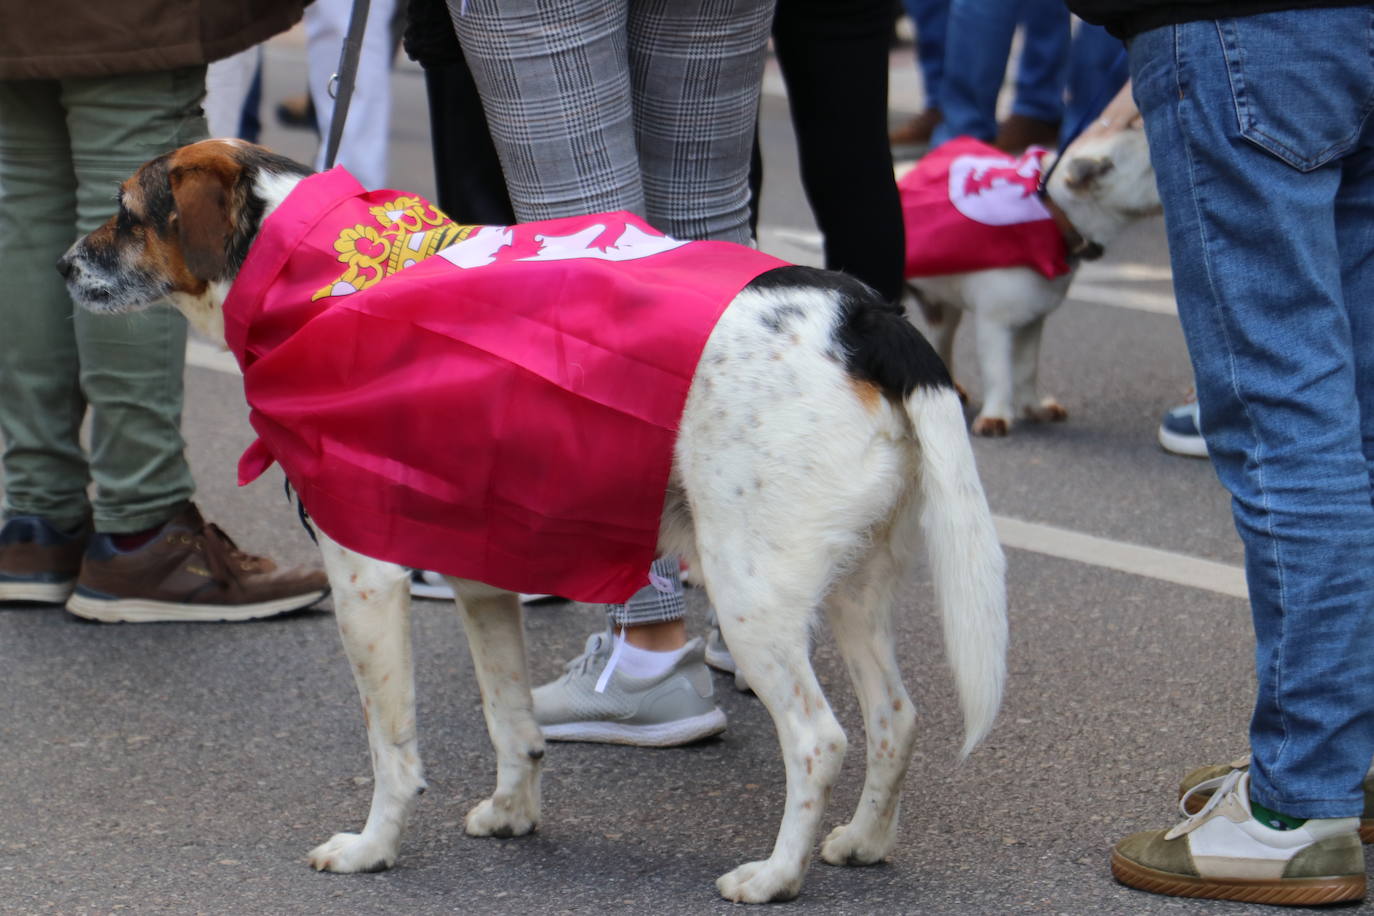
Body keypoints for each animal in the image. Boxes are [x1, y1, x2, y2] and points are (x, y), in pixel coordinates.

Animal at [59, 140, 1005, 906]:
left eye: (127, 213)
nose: (65, 265)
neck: (319, 273)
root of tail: (867, 315)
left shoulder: (364, 577)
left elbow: (392, 747)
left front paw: (373, 849)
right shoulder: (482, 575)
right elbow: (511, 719)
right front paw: (514, 813)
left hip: (753, 598)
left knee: (819, 739)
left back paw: (776, 876)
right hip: (851, 591)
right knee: (896, 719)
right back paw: (865, 842)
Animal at [906, 83, 1165, 436]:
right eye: (1153, 166)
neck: (1054, 217)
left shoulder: (1032, 320)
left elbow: (1027, 367)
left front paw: (1033, 407)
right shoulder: (995, 323)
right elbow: (998, 371)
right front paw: (997, 416)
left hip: (942, 304)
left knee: (940, 336)